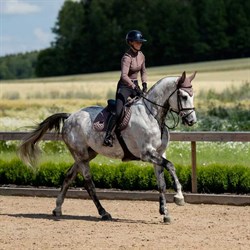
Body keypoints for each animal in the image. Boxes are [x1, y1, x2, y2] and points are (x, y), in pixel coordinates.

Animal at [19, 70, 197, 223]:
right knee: (89, 184)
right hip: (81, 156)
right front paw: (179, 197)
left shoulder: (159, 154)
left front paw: (165, 213)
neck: (152, 115)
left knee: (69, 176)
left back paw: (57, 209)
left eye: (192, 95)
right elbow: (171, 166)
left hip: (86, 155)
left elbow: (162, 183)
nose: (192, 121)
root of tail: (70, 116)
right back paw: (103, 212)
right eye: (183, 96)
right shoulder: (147, 154)